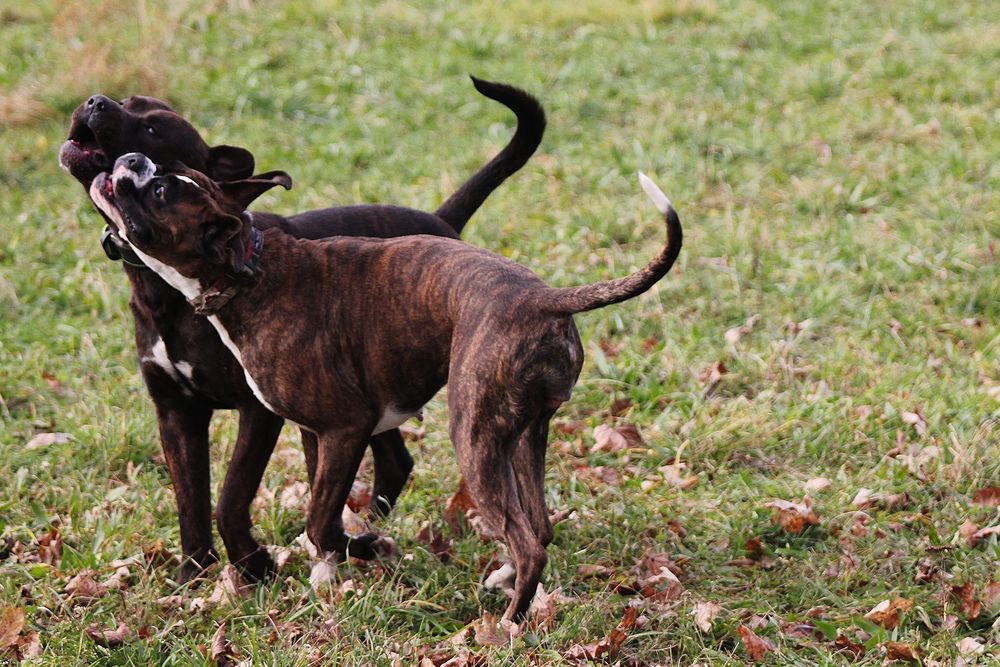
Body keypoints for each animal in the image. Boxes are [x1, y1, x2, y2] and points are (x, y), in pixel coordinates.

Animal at [58, 78, 544, 584]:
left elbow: (231, 495)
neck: (166, 291)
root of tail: (442, 221)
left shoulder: (260, 412)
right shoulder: (177, 413)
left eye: (153, 129)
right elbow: (190, 500)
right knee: (388, 462)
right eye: (126, 103)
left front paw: (253, 565)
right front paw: (195, 572)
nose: (96, 102)